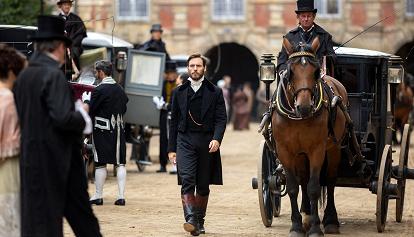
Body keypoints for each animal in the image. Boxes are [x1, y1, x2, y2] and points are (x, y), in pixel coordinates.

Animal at [274, 36, 348, 236]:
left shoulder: (317, 150)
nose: (305, 107)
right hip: (300, 155)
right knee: (303, 179)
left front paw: (315, 228)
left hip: (334, 148)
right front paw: (297, 226)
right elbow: (294, 187)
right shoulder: (285, 151)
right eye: (290, 71)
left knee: (330, 180)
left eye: (315, 72)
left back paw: (330, 220)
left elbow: (314, 187)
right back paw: (306, 215)